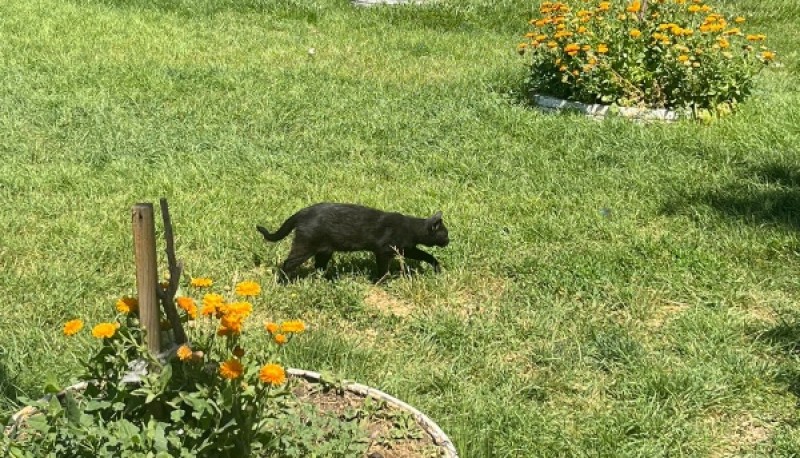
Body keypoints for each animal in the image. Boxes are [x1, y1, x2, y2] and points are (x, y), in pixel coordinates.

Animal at [255, 203, 446, 280]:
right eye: (445, 234)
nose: (449, 241)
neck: (411, 228)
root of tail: (302, 212)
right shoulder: (383, 251)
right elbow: (383, 269)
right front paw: (380, 281)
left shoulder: (406, 249)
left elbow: (425, 255)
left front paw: (437, 267)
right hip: (305, 246)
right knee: (287, 264)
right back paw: (283, 282)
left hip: (324, 250)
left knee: (319, 267)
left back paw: (327, 280)